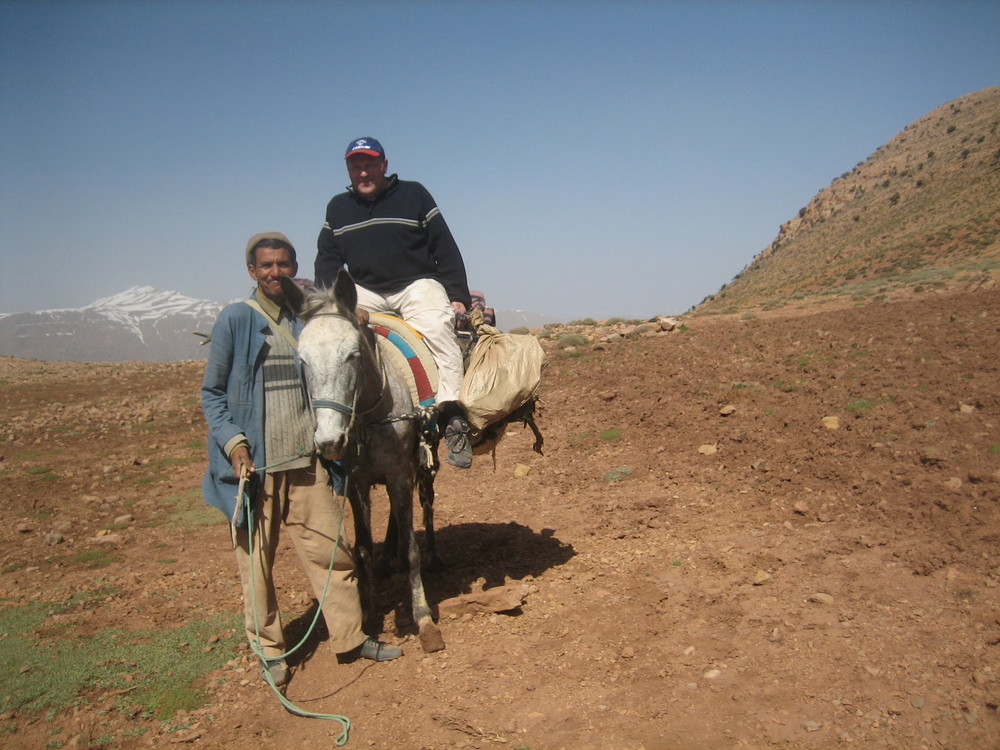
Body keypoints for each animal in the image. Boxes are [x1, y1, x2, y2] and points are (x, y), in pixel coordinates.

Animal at [276, 274, 444, 656]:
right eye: (303, 360)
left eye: (352, 355)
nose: (329, 441)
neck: (370, 416)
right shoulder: (358, 484)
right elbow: (363, 549)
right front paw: (367, 614)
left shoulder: (399, 475)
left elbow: (411, 550)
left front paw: (424, 619)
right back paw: (388, 560)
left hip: (423, 464)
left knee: (425, 504)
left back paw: (433, 555)